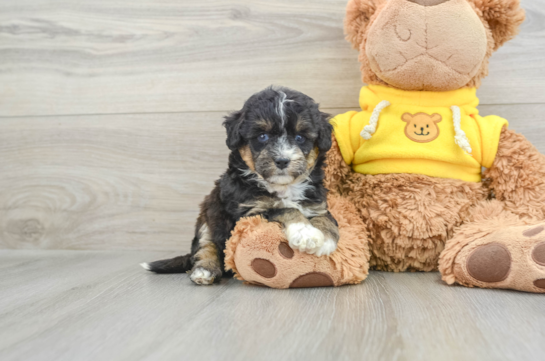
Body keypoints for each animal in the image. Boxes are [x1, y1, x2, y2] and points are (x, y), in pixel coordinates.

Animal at [143, 87, 340, 284]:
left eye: (300, 137)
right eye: (262, 136)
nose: (282, 160)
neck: (282, 187)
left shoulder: (316, 204)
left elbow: (326, 217)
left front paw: (326, 240)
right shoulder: (247, 212)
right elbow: (285, 209)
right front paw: (305, 233)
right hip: (208, 217)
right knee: (205, 246)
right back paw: (204, 270)